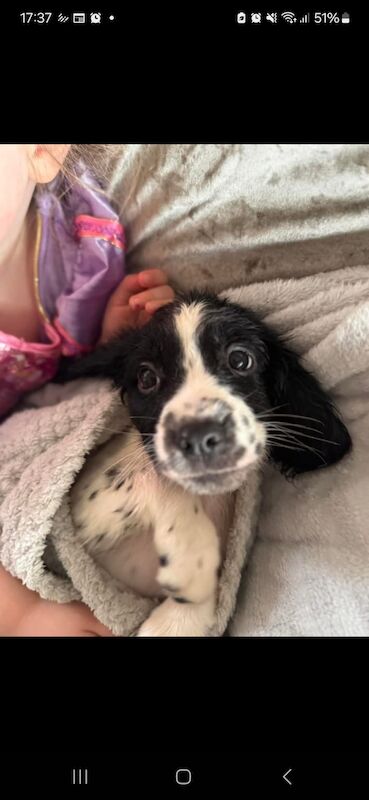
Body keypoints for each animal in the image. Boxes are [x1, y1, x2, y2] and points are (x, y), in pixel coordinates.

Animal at [58, 294, 350, 636]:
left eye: (240, 360)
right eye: (147, 378)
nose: (198, 437)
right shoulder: (80, 505)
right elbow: (159, 476)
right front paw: (191, 560)